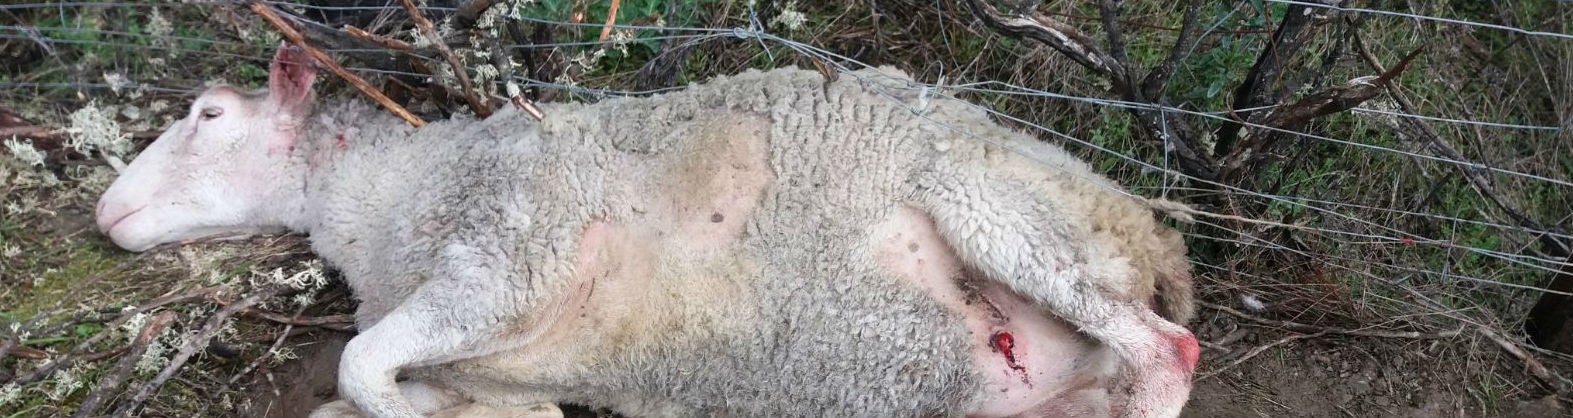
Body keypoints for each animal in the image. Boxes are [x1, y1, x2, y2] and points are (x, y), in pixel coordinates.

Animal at [95, 44, 1198, 418]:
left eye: (207, 116)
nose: (106, 210)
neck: (388, 195)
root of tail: (1154, 231)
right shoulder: (478, 359)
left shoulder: (508, 256)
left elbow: (359, 369)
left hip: (1003, 213)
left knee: (1169, 351)